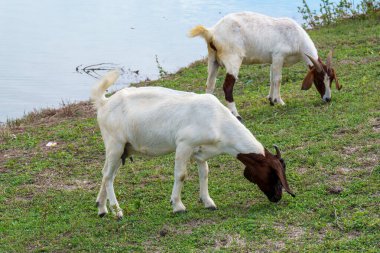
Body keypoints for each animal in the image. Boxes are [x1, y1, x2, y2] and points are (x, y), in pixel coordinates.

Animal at [91, 69, 294, 219]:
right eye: (275, 175)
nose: (277, 197)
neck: (218, 121)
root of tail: (104, 103)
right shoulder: (184, 144)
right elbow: (181, 174)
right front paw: (178, 206)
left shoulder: (200, 151)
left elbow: (204, 173)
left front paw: (208, 202)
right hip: (115, 144)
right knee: (108, 177)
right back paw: (118, 211)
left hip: (123, 149)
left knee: (106, 173)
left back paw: (102, 209)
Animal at [190, 12, 342, 121]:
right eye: (318, 80)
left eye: (331, 79)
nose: (328, 99)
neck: (296, 37)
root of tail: (212, 32)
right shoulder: (278, 56)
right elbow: (278, 79)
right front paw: (279, 101)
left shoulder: (272, 60)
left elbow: (271, 78)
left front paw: (271, 99)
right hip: (233, 59)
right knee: (227, 87)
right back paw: (237, 115)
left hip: (213, 60)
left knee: (209, 85)